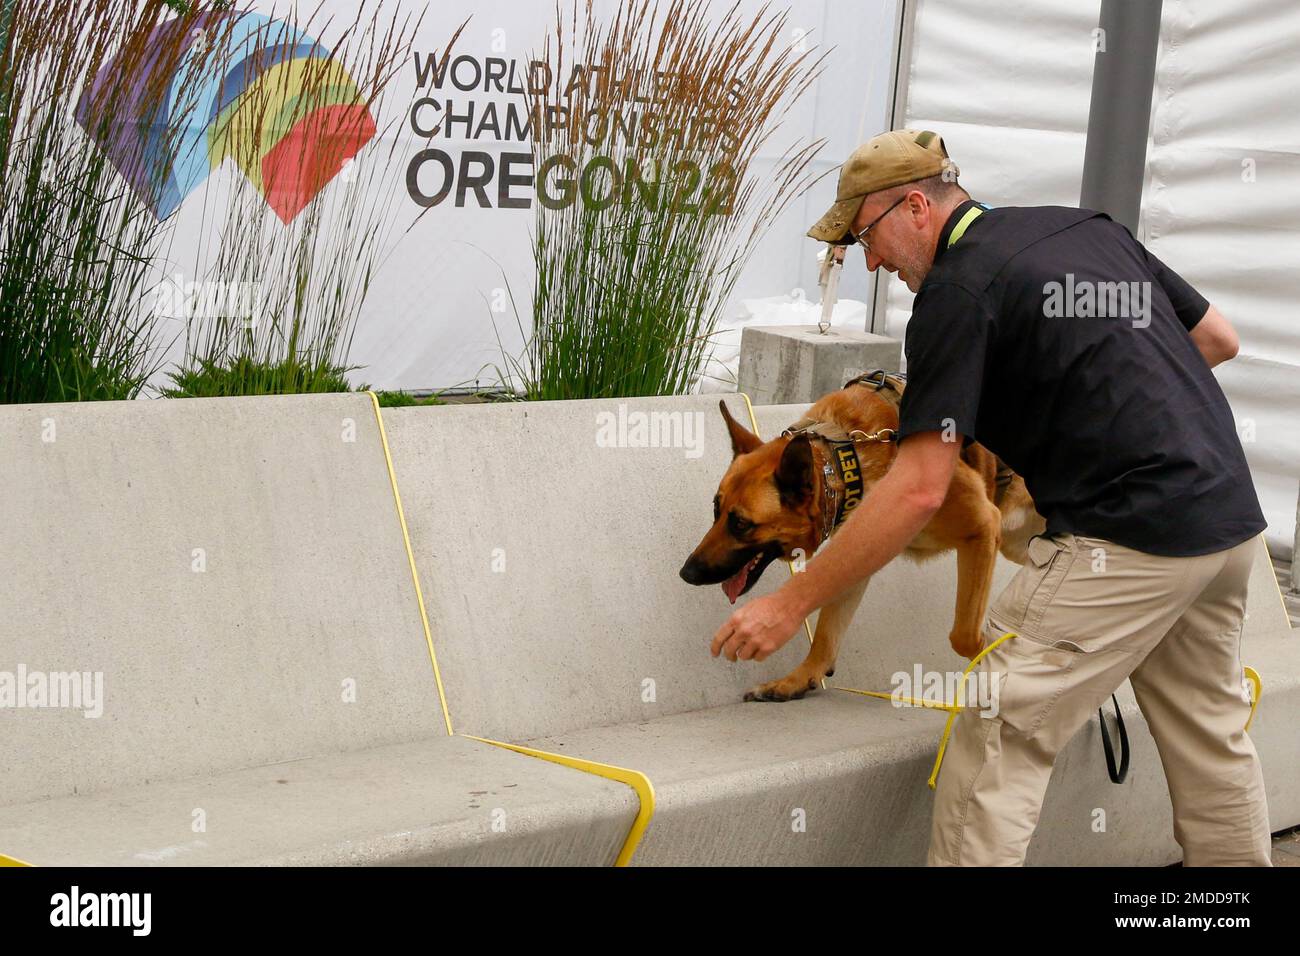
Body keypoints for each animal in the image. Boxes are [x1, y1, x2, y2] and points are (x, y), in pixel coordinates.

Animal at [681, 374, 1045, 702]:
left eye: (741, 524)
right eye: (716, 510)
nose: (687, 573)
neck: (847, 454)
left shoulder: (982, 528)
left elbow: (964, 636)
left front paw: (990, 655)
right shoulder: (858, 553)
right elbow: (827, 633)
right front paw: (798, 679)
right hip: (1018, 543)